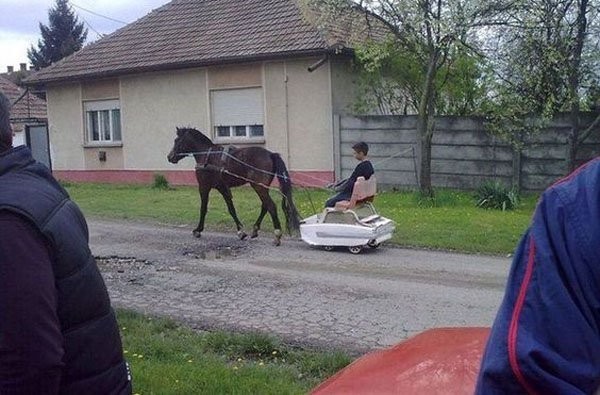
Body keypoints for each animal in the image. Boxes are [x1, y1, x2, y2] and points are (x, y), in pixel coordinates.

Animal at [166, 127, 300, 246]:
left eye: (177, 140)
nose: (169, 156)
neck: (207, 155)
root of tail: (271, 154)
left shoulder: (204, 187)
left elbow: (203, 208)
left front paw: (198, 230)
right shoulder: (222, 188)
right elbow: (231, 209)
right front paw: (240, 231)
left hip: (258, 186)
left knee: (271, 206)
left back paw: (277, 235)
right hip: (261, 187)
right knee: (265, 206)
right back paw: (255, 229)